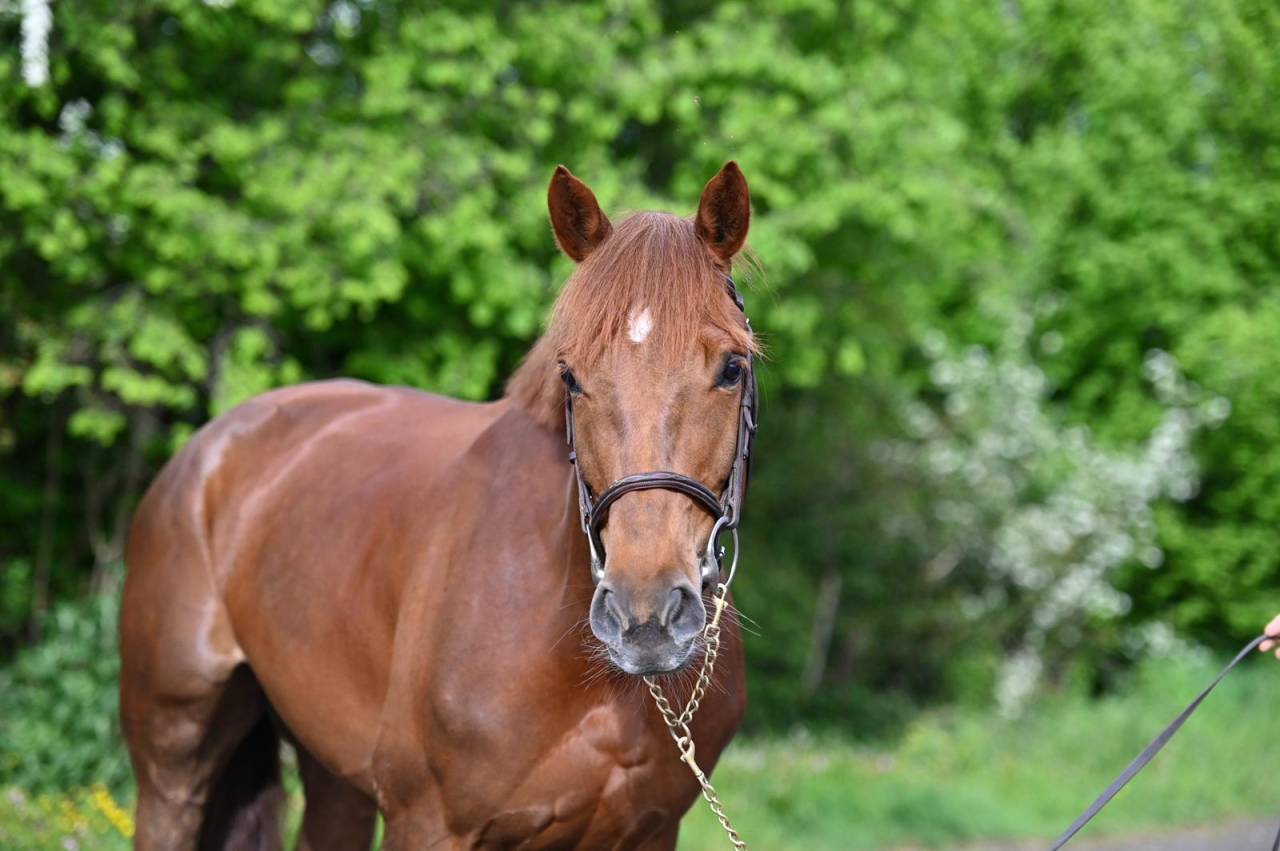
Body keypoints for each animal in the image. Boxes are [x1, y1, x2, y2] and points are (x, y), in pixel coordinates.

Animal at [119, 161, 759, 850]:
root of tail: (206, 450)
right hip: (171, 763)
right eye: (570, 375)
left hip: (332, 775)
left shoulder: (649, 831)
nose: (645, 616)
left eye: (732, 368)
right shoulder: (426, 824)